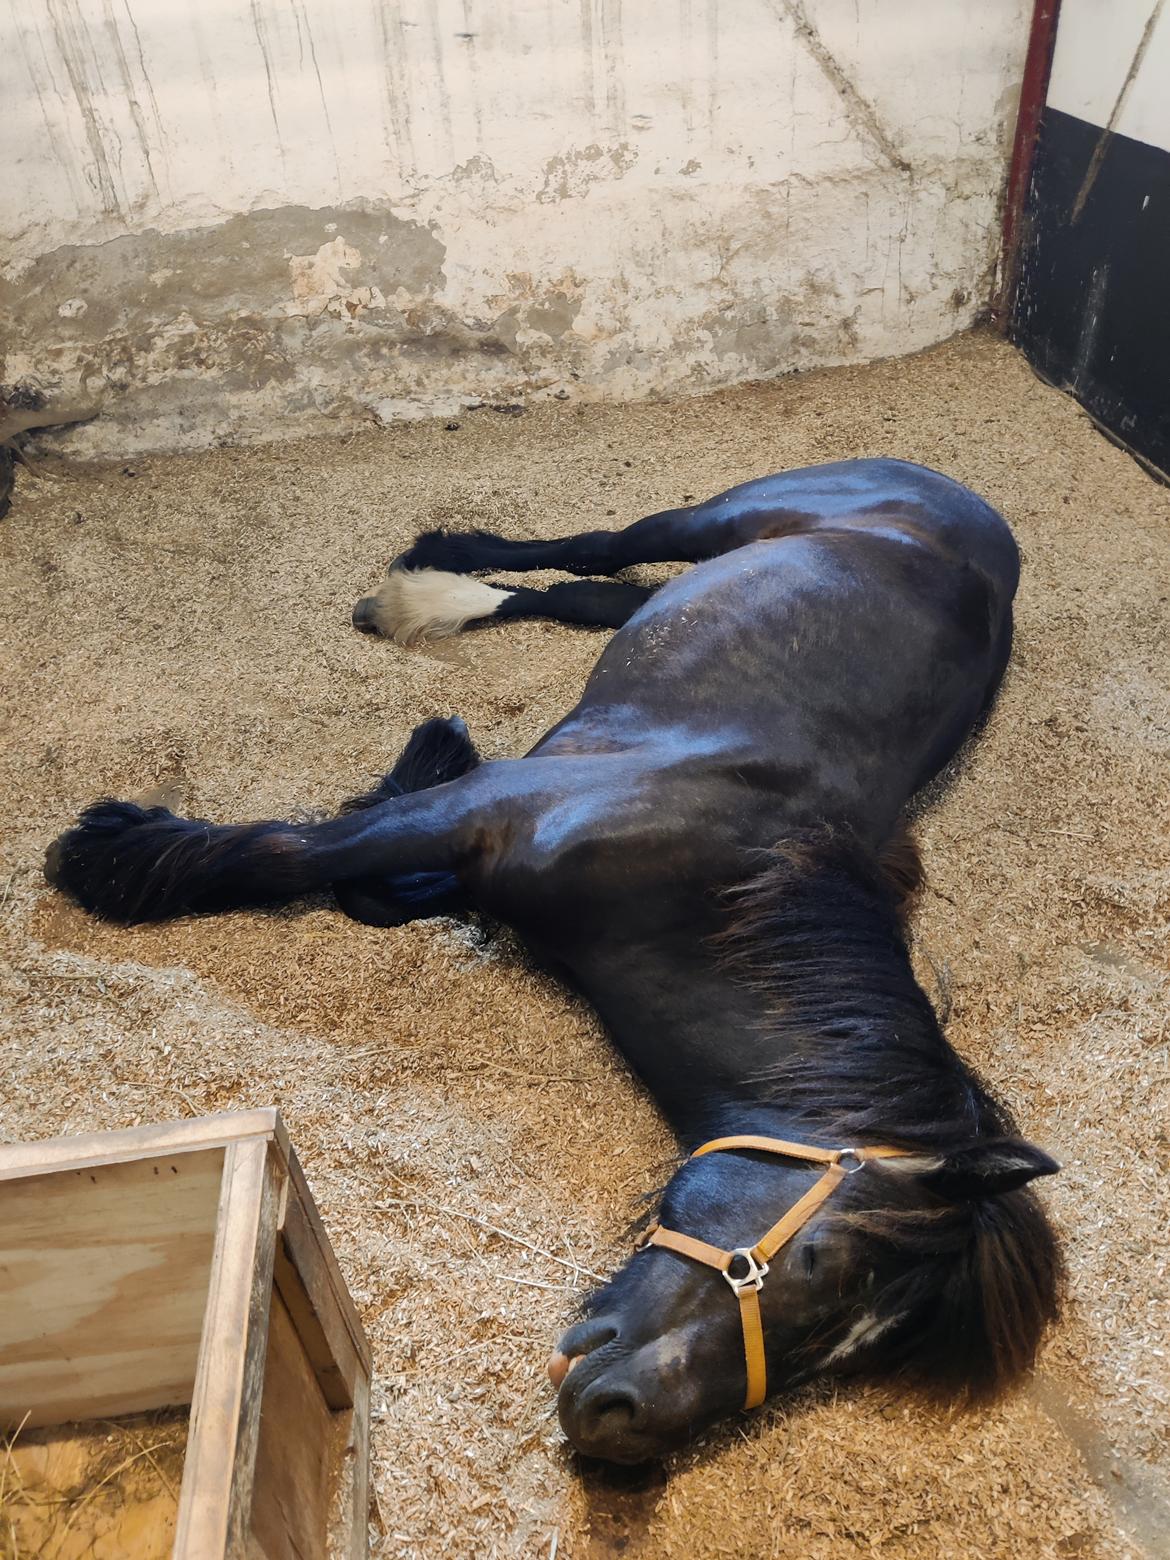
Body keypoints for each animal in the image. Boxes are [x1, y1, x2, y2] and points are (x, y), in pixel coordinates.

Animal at [50, 455, 1067, 1460]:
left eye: (853, 1350)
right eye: (824, 1265)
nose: (624, 1420)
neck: (723, 866)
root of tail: (976, 514)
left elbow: (370, 891)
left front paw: (423, 751)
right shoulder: (483, 813)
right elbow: (289, 857)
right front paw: (107, 860)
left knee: (599, 596)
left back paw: (434, 603)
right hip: (724, 516)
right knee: (602, 550)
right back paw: (435, 573)